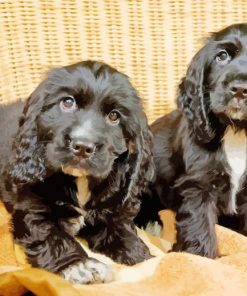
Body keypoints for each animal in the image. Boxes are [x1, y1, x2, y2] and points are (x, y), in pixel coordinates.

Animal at [0, 59, 154, 282]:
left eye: (114, 116)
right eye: (67, 102)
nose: (83, 146)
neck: (80, 180)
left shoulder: (115, 204)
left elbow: (121, 229)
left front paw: (139, 255)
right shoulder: (32, 209)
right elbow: (52, 235)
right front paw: (78, 265)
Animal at [139, 24, 247, 258]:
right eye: (222, 56)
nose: (240, 89)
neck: (238, 134)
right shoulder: (198, 184)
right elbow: (200, 227)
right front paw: (200, 257)